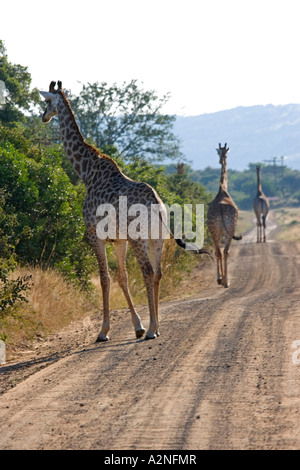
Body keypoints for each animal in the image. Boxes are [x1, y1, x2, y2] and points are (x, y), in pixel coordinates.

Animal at [39, 81, 211, 342]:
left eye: (47, 101)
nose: (43, 117)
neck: (87, 173)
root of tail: (157, 205)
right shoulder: (119, 240)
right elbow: (122, 277)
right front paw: (137, 326)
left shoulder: (95, 234)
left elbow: (105, 278)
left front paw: (104, 331)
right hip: (156, 238)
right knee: (158, 273)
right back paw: (156, 327)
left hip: (139, 238)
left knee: (148, 271)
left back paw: (152, 329)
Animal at [207, 143, 243, 286]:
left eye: (221, 153)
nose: (220, 160)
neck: (223, 189)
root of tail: (222, 209)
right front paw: (224, 279)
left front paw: (220, 278)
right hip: (228, 229)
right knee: (225, 251)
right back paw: (225, 281)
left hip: (214, 230)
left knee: (218, 251)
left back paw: (220, 279)